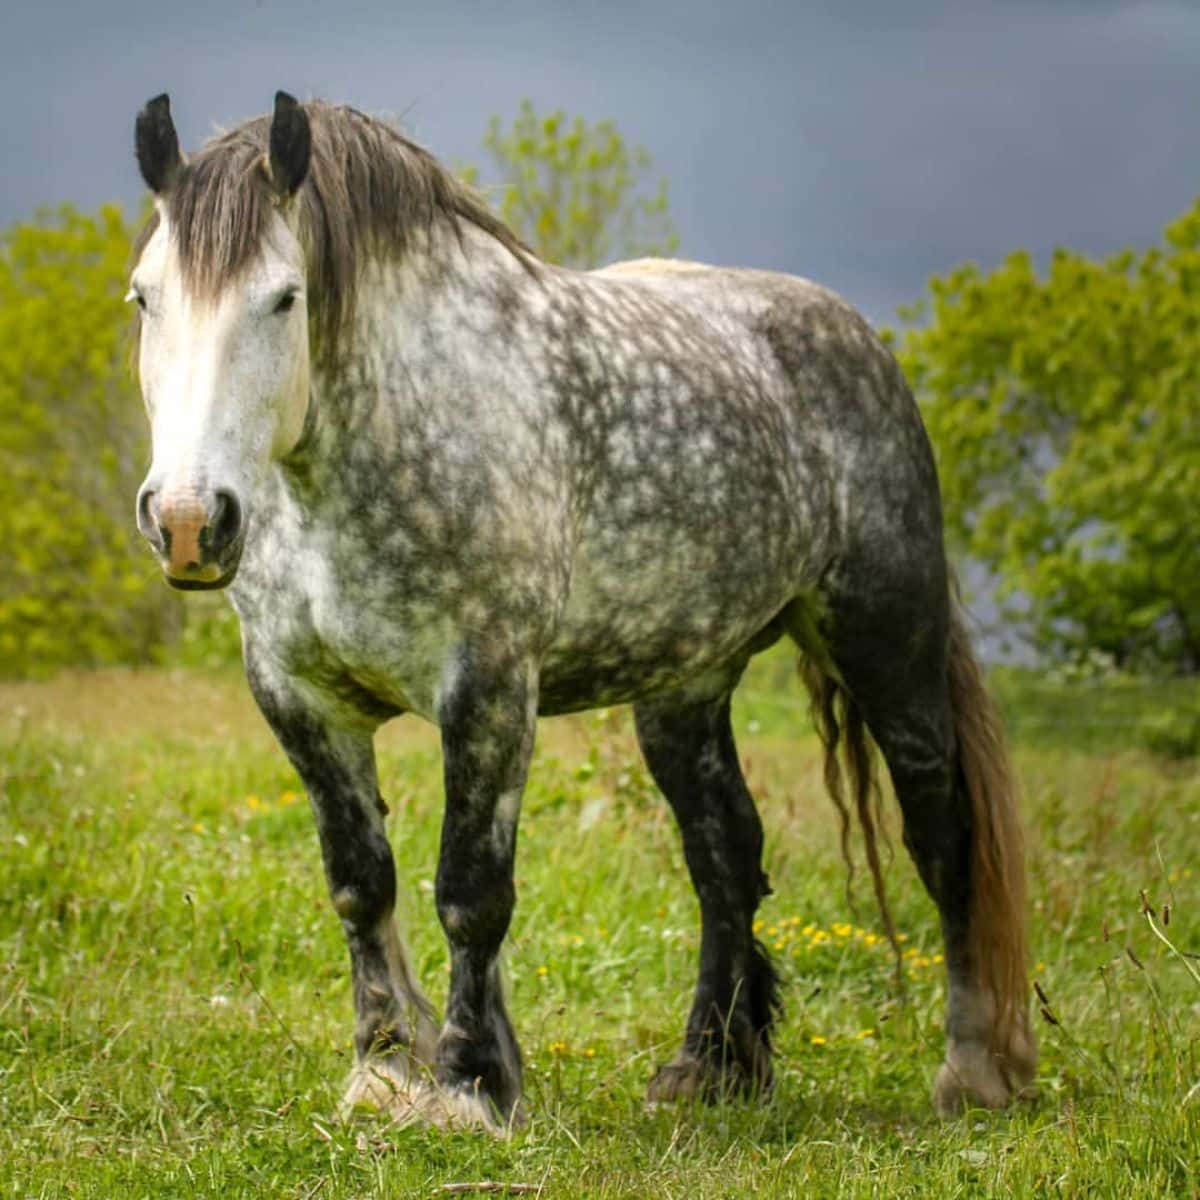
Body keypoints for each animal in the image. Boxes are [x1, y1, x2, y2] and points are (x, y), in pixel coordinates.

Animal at [129, 96, 1032, 1132]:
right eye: (144, 297)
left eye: (284, 298)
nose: (188, 521)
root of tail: (862, 344)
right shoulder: (300, 697)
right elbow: (361, 883)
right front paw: (387, 1066)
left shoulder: (487, 689)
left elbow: (471, 892)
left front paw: (470, 1083)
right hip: (686, 687)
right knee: (726, 854)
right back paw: (712, 1067)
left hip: (888, 647)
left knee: (942, 837)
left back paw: (974, 1071)